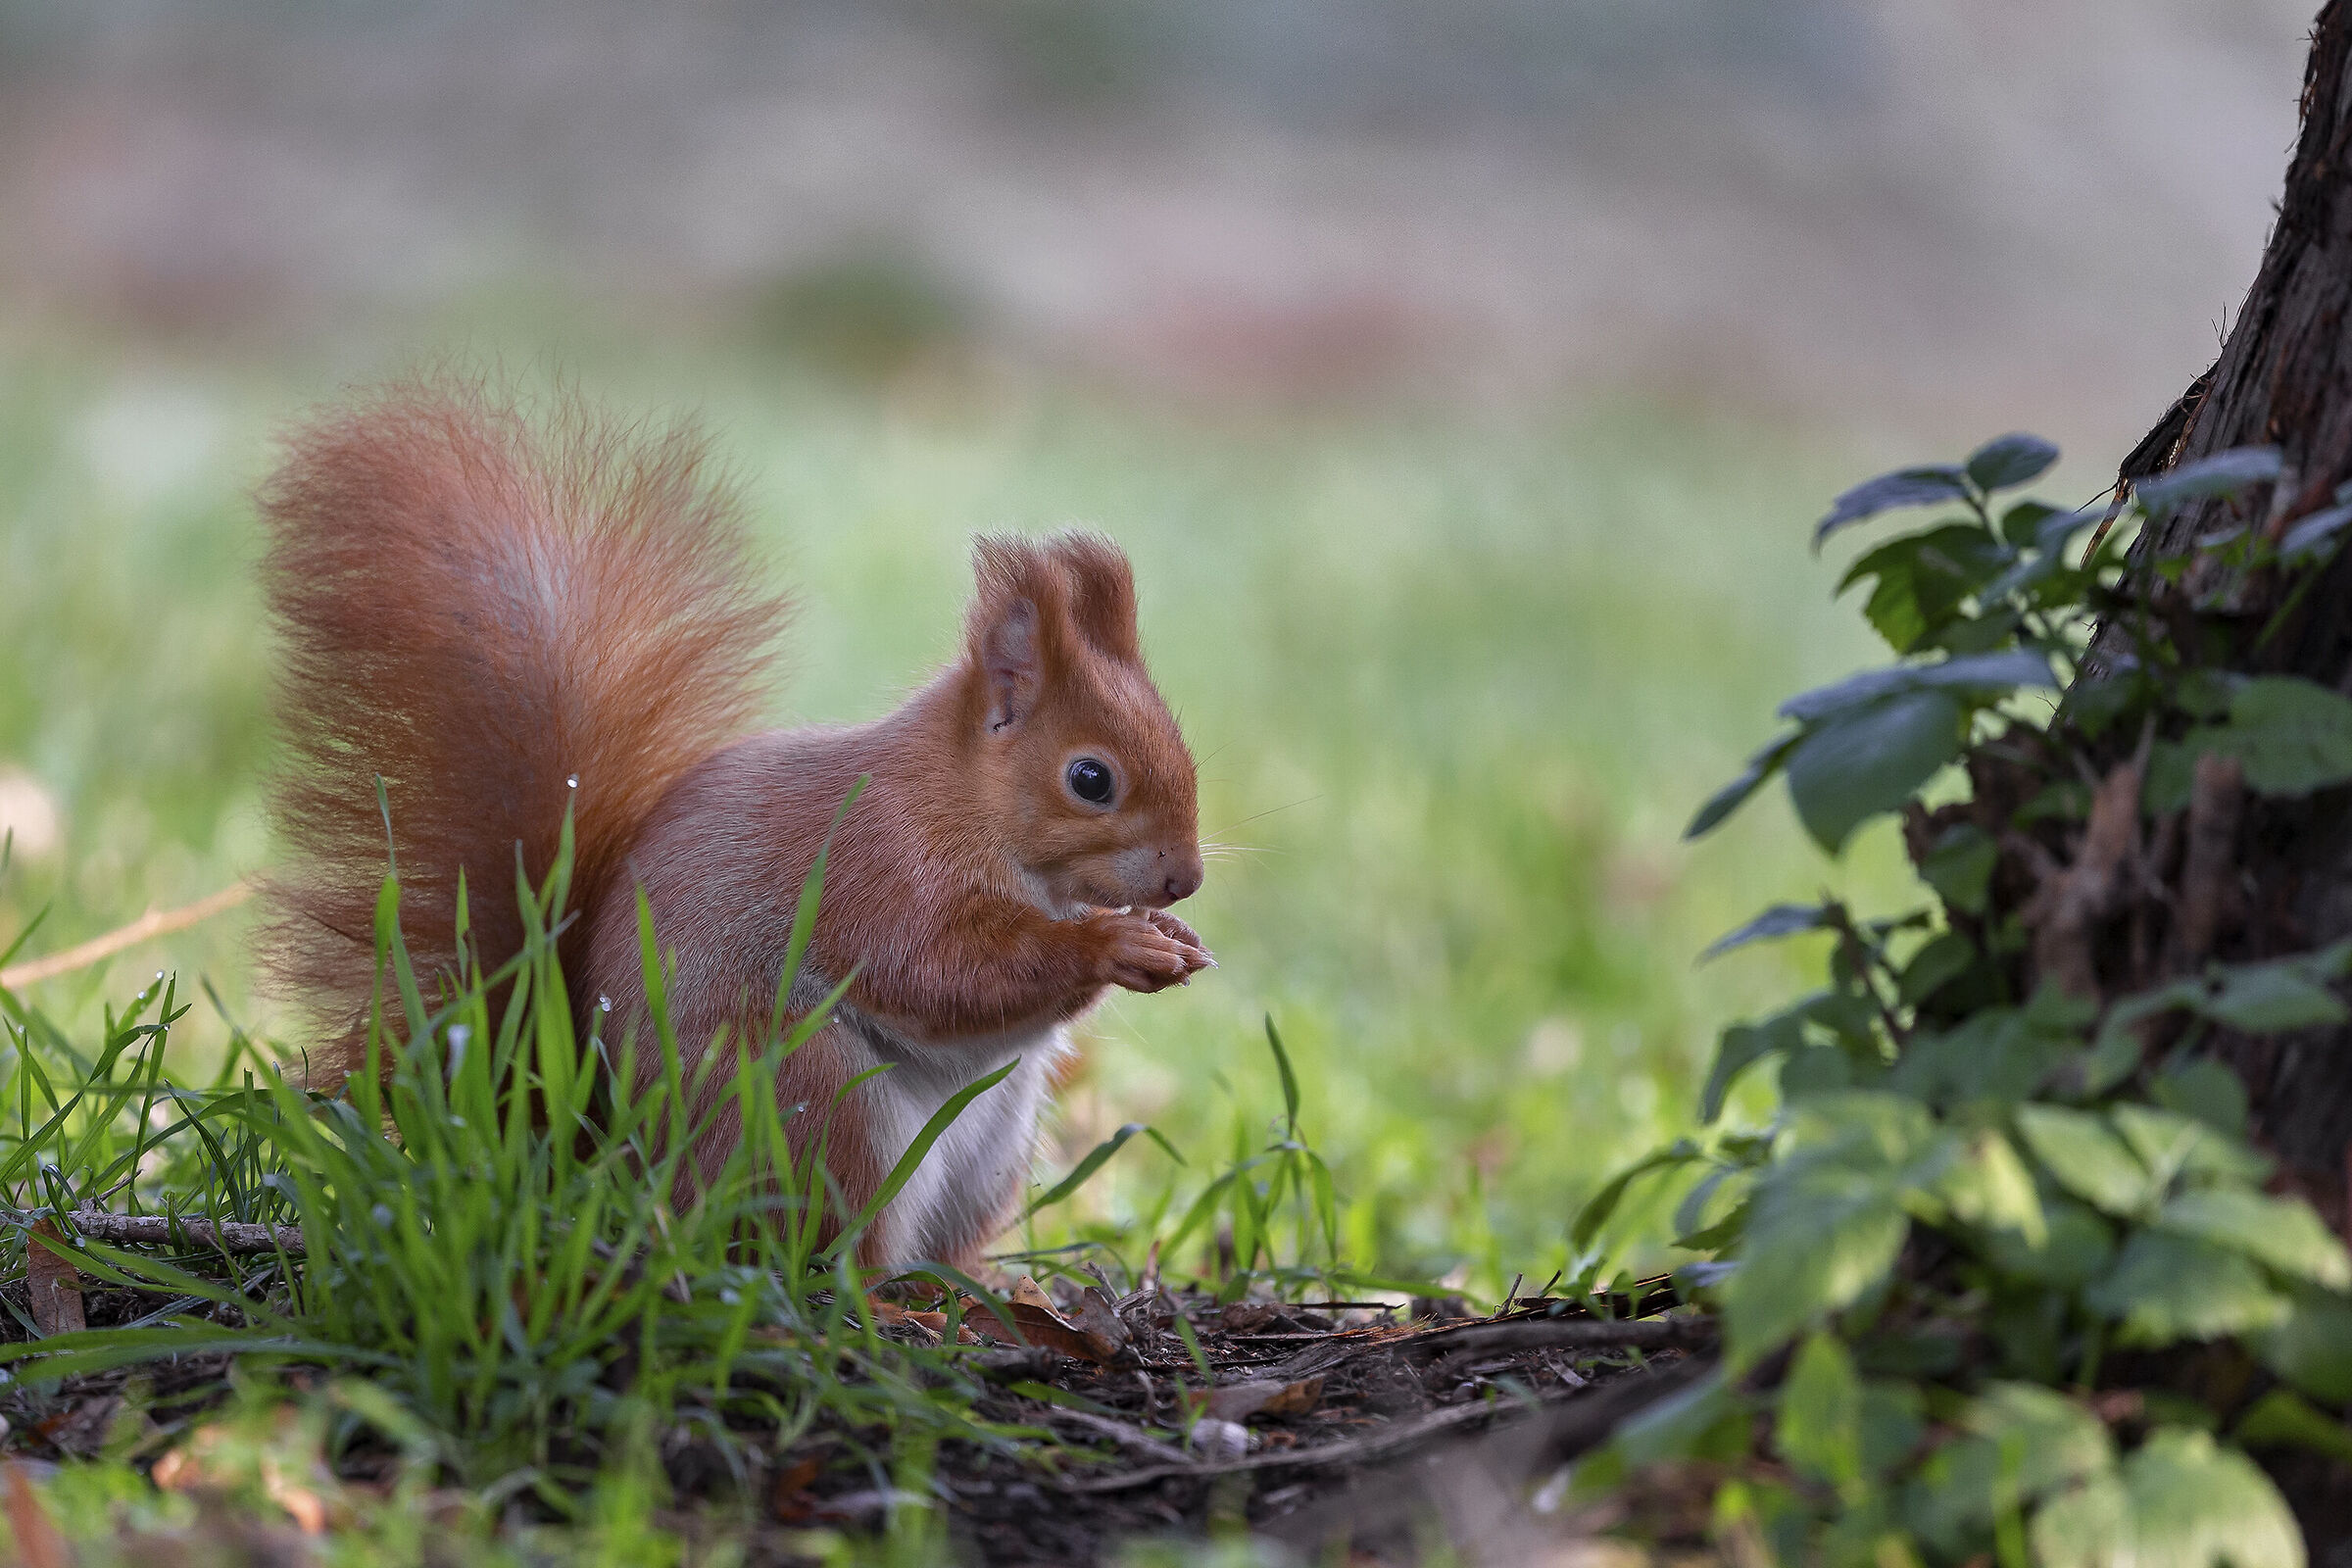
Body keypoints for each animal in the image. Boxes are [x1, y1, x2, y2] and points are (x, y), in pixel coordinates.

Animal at [258, 380, 1211, 1269]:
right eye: (1090, 779)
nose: (1185, 878)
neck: (969, 806)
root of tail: (612, 1170)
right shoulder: (878, 865)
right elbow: (939, 970)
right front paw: (1114, 945)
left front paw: (1169, 938)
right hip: (810, 1106)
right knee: (824, 1252)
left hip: (992, 1147)